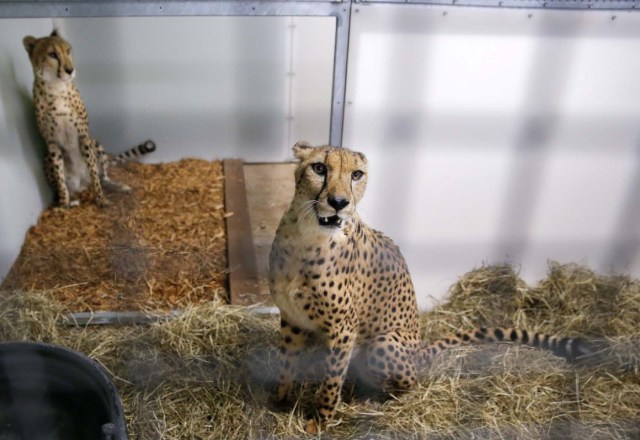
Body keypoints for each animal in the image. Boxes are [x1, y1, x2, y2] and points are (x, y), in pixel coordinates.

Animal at [23, 29, 156, 208]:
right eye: (52, 54)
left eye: (68, 51)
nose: (70, 70)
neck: (56, 88)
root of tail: (82, 182)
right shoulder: (52, 144)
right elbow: (60, 178)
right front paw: (63, 205)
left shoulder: (83, 136)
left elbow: (93, 170)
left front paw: (100, 199)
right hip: (47, 160)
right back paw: (72, 200)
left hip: (95, 143)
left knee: (102, 176)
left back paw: (116, 186)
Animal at [266, 142, 592, 434]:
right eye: (319, 168)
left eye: (356, 175)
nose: (339, 202)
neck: (306, 235)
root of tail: (419, 349)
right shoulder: (292, 318)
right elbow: (286, 361)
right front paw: (279, 399)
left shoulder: (343, 330)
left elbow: (331, 382)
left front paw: (319, 421)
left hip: (383, 344)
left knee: (404, 383)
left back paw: (371, 401)